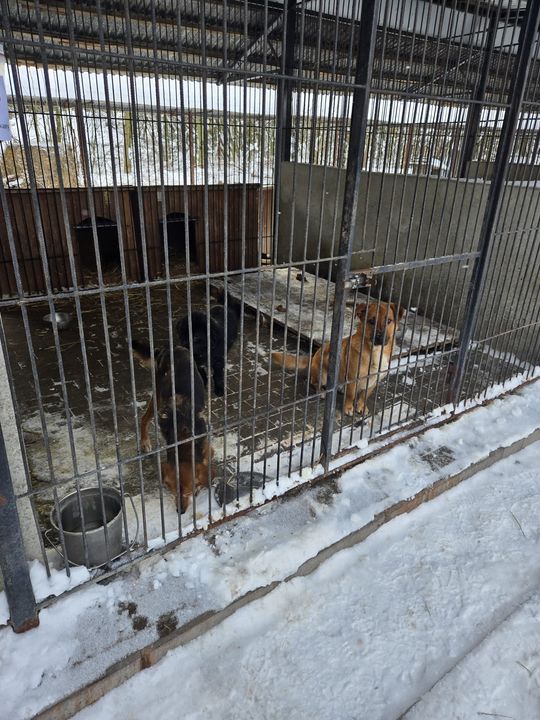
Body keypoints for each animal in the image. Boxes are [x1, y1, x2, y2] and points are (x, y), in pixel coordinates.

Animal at [131, 339, 212, 513]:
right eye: (172, 490)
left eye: (189, 491)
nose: (180, 511)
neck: (185, 436)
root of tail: (170, 347)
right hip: (158, 396)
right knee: (144, 418)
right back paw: (145, 442)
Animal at [271, 301, 404, 417]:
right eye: (371, 321)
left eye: (389, 321)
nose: (380, 336)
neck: (375, 351)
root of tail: (313, 357)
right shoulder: (353, 379)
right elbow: (351, 395)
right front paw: (348, 408)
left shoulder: (373, 381)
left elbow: (363, 396)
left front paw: (361, 406)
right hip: (322, 375)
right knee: (314, 383)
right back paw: (322, 392)